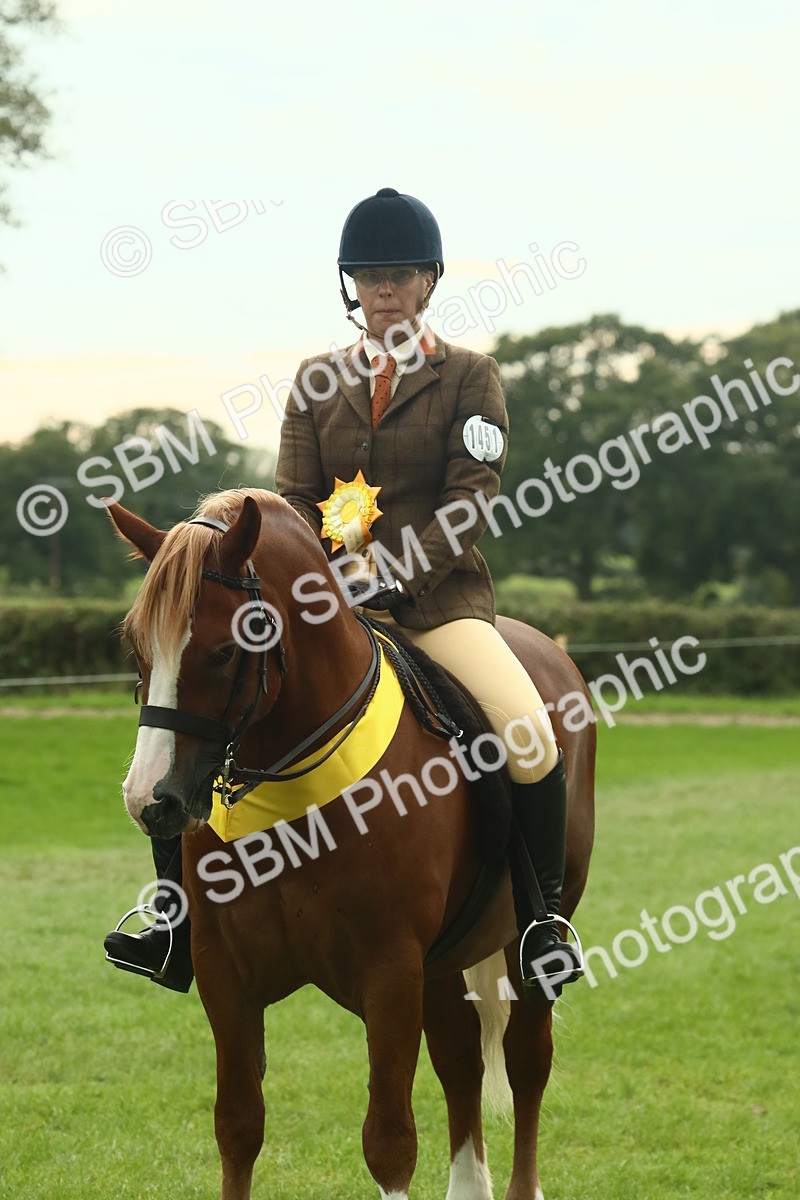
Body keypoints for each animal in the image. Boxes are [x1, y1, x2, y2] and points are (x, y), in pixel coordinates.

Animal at [110, 486, 595, 1200]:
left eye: (225, 651)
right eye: (138, 646)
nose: (151, 800)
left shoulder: (389, 971)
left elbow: (389, 1142)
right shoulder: (224, 973)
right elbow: (238, 1126)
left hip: (522, 942)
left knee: (526, 1059)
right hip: (443, 959)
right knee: (460, 1058)